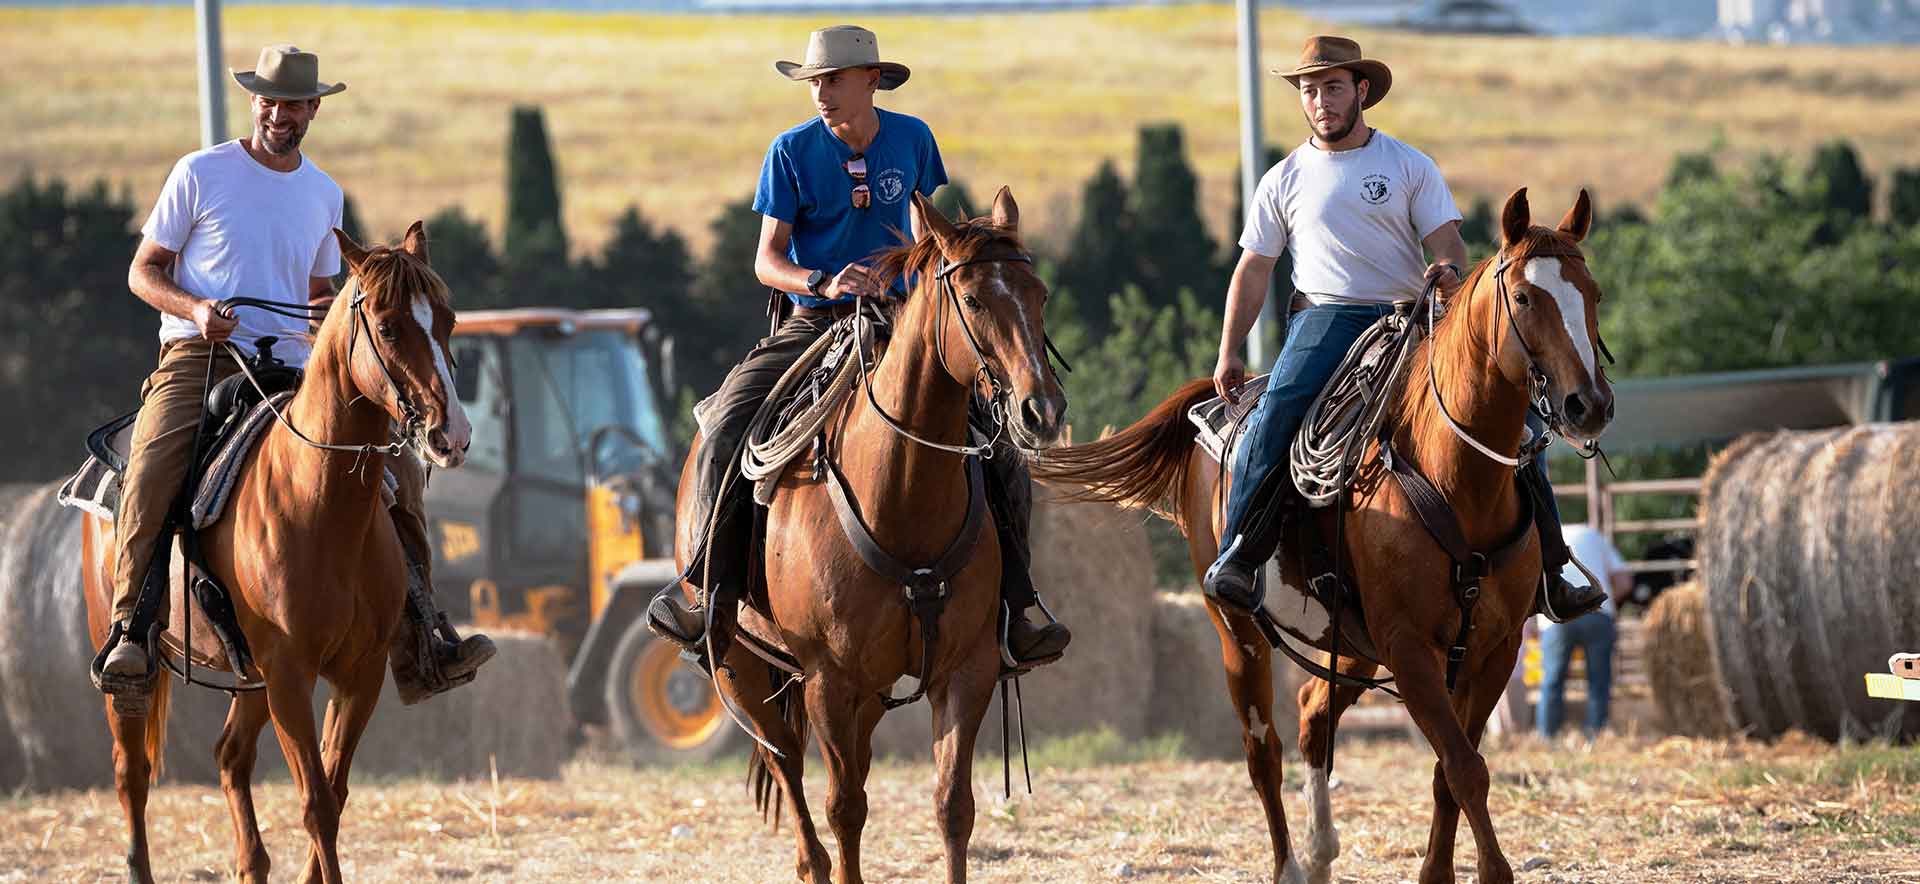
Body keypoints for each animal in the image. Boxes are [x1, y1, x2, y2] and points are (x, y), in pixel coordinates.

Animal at [75, 225, 472, 884]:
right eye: (388, 328)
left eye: (447, 319)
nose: (452, 434)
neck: (319, 504)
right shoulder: (288, 672)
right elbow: (316, 803)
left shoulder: (358, 673)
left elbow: (334, 793)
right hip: (136, 661)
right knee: (131, 773)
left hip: (252, 680)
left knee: (230, 757)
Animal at [1029, 188, 1612, 884]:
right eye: (1524, 297)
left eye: (1592, 291)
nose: (1588, 405)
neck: (1453, 476)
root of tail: (1219, 403)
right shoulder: (1410, 648)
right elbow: (1465, 769)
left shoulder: (1491, 649)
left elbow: (1449, 772)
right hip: (1240, 634)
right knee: (1265, 749)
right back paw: (1289, 863)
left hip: (1353, 647)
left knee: (1311, 711)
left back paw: (1322, 849)